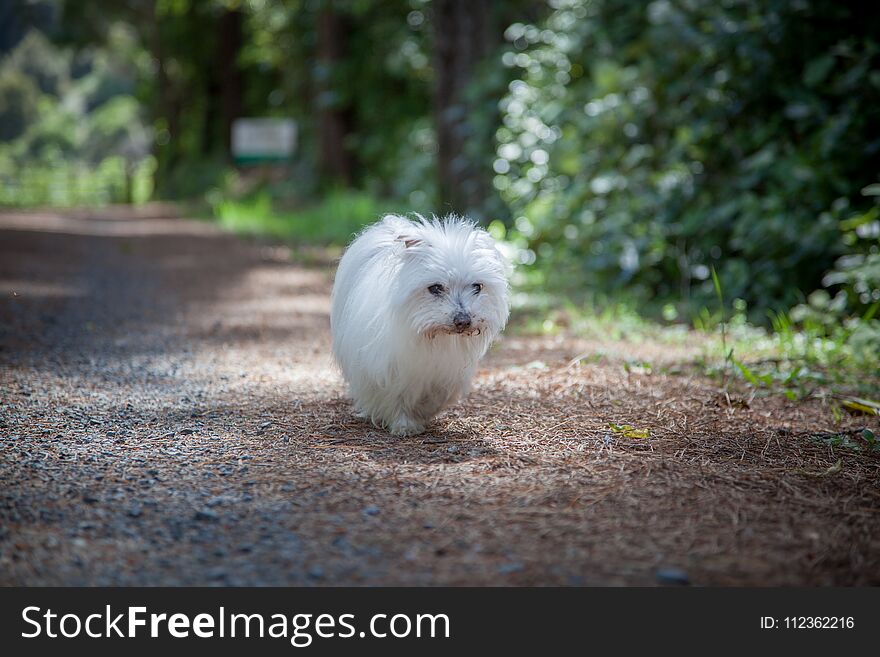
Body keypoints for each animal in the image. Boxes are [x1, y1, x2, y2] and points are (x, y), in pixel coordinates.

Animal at [330, 214, 508, 436]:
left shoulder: (446, 371)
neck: (430, 336)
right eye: (435, 288)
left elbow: (438, 395)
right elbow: (394, 396)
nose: (463, 321)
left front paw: (423, 413)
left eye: (477, 287)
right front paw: (404, 426)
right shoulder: (386, 369)